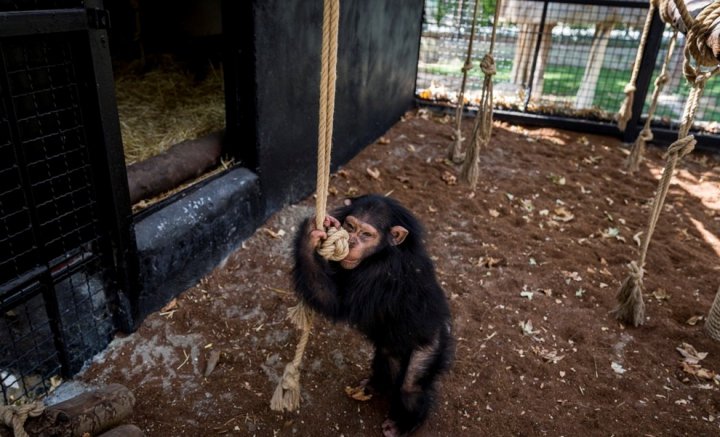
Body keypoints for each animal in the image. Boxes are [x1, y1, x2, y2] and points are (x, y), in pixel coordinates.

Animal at [292, 195, 450, 436]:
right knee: (388, 361)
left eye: (366, 234)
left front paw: (308, 238)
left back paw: (404, 424)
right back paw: (374, 386)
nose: (352, 242)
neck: (380, 253)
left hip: (432, 342)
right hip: (391, 345)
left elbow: (337, 303)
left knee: (411, 387)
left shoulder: (382, 273)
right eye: (350, 226)